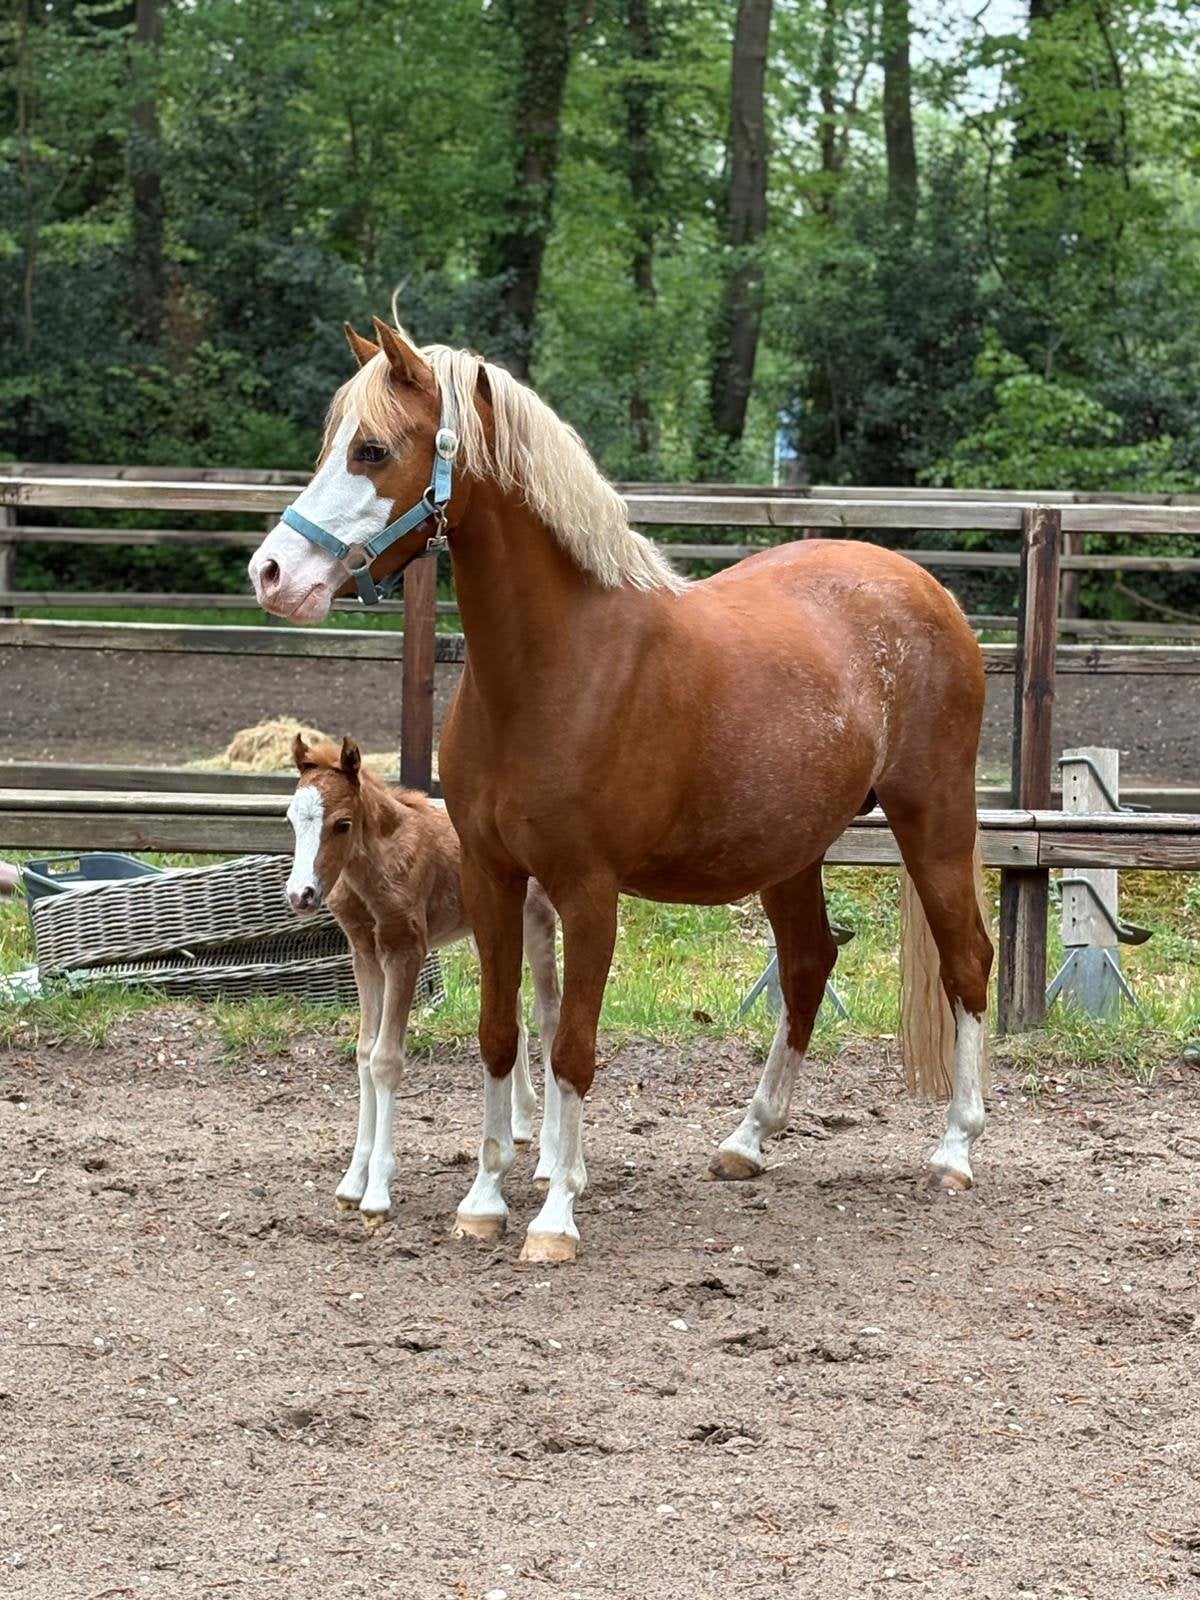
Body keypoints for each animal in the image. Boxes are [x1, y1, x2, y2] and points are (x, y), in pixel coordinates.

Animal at [285, 734, 561, 1231]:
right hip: (493, 929)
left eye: (342, 824)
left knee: (548, 1014)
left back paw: (548, 1163)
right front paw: (352, 1181)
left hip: (538, 918)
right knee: (513, 1014)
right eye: (291, 819)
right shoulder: (364, 953)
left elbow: (385, 1060)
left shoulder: (405, 950)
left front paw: (376, 1190)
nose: (301, 895)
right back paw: (518, 1125)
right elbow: (363, 1053)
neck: (376, 866)